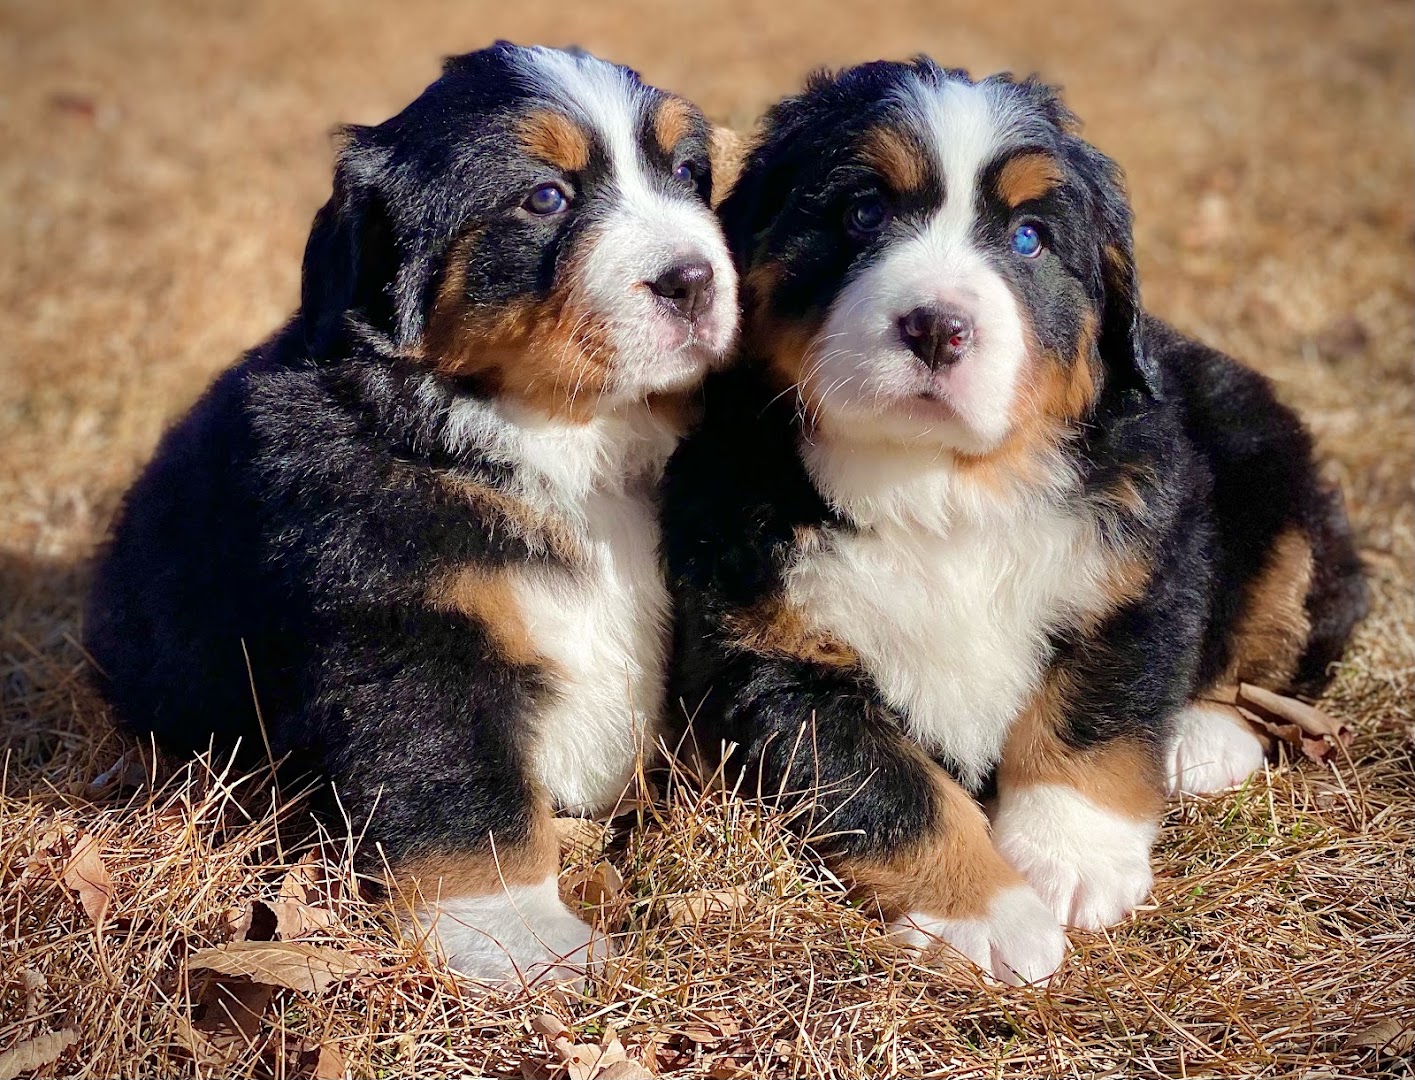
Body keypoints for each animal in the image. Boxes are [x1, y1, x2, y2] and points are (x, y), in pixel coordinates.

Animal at [85, 42, 741, 990]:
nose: (693, 278)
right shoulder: (412, 630)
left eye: (688, 175)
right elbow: (466, 797)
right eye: (545, 198)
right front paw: (525, 941)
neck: (564, 443)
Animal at [665, 61, 1369, 990]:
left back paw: (1204, 739)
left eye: (1030, 238)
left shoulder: (1139, 567)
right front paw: (986, 912)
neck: (941, 488)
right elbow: (886, 784)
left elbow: (1092, 717)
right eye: (862, 213)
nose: (936, 326)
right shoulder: (766, 656)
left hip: (1281, 499)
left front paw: (1070, 862)